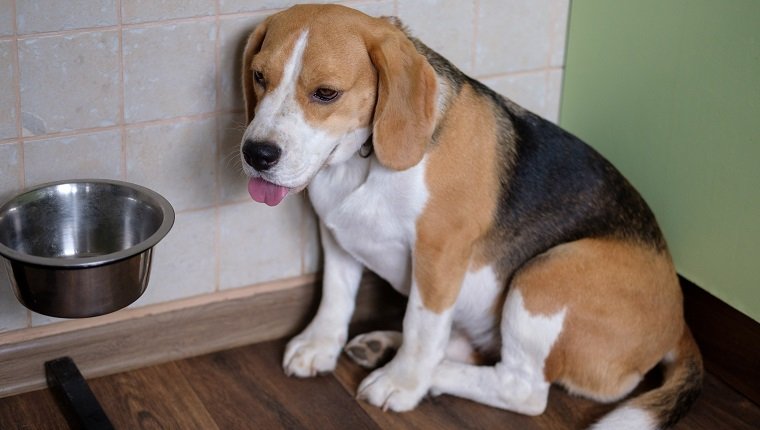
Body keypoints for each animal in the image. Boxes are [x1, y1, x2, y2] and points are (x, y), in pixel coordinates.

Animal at [240, 4, 704, 430]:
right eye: (260, 77)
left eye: (326, 93)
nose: (256, 154)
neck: (363, 160)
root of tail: (679, 319)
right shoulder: (336, 232)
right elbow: (336, 294)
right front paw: (319, 344)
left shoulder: (439, 252)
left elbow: (422, 326)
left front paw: (403, 383)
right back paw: (383, 347)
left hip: (547, 274)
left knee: (522, 388)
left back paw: (427, 376)